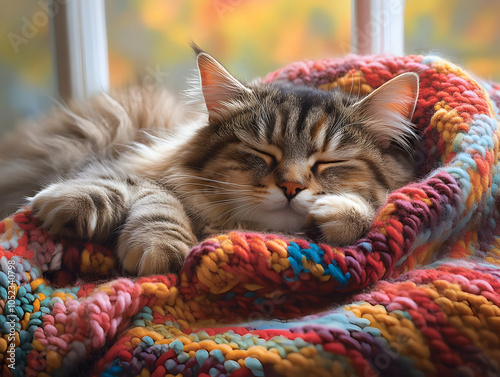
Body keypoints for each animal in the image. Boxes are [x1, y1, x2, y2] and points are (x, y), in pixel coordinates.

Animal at [0, 47, 420, 276]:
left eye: (329, 162)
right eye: (262, 153)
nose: (291, 187)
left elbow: (369, 212)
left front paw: (337, 212)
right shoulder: (123, 160)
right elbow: (147, 191)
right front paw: (159, 247)